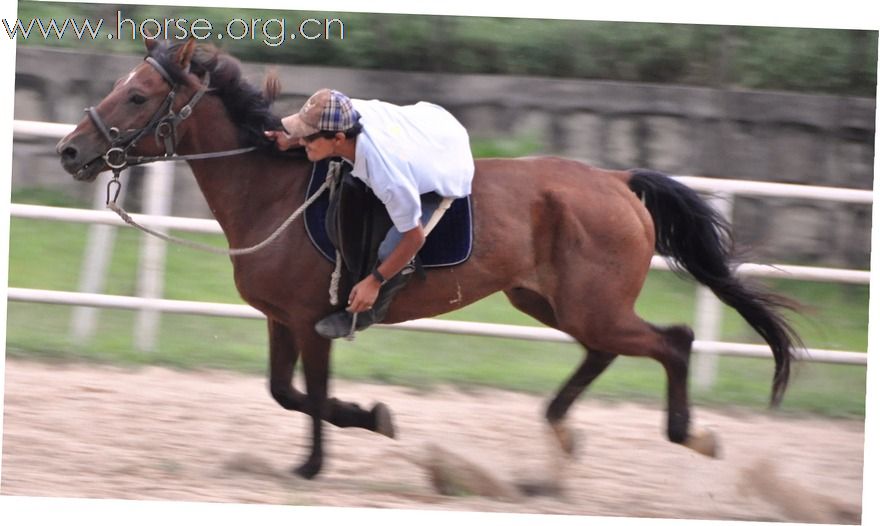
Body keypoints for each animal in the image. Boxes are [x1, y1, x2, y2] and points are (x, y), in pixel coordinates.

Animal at [51, 39, 800, 480]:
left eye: (138, 95)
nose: (69, 150)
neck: (274, 189)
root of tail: (616, 180)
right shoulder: (280, 320)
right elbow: (284, 391)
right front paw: (367, 417)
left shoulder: (312, 319)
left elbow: (309, 393)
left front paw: (317, 463)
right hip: (555, 302)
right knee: (611, 350)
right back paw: (559, 436)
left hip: (592, 305)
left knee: (674, 341)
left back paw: (688, 436)